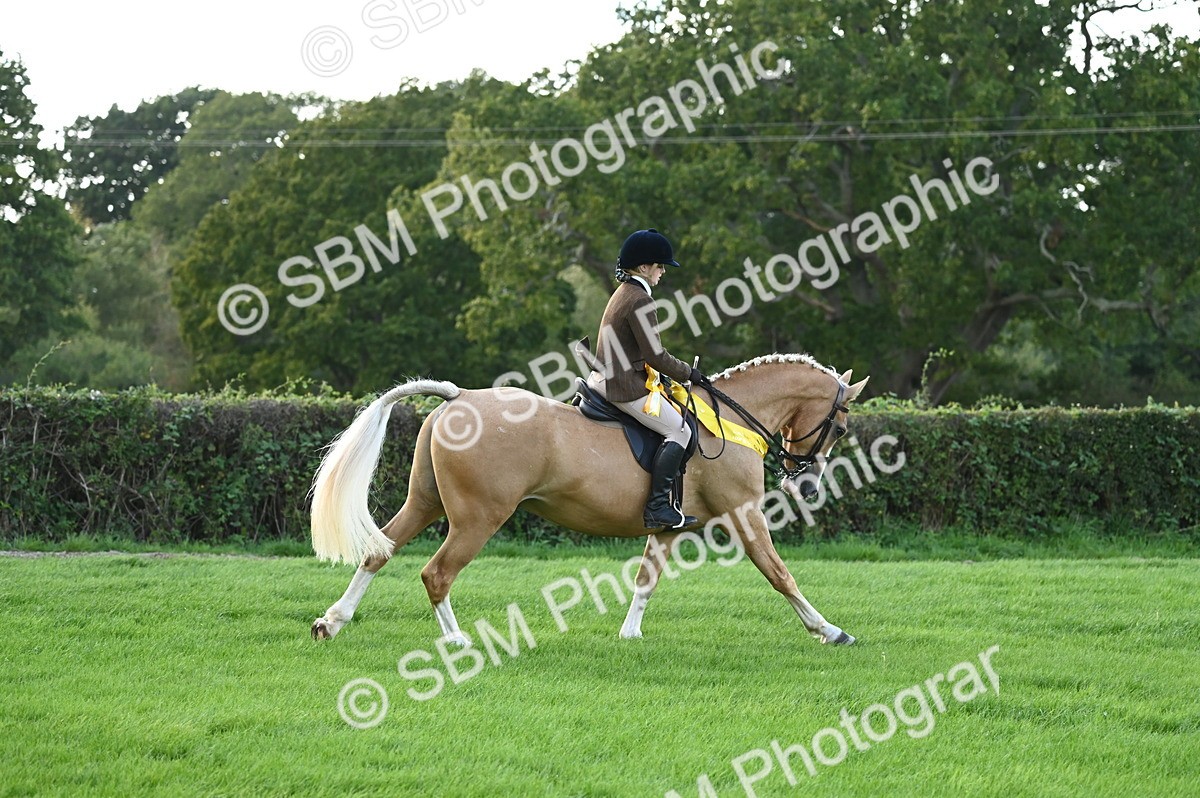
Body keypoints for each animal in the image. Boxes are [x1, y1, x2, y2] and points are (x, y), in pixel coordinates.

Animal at [309, 353, 869, 646]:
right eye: (840, 428)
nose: (807, 486)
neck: (729, 422)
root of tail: (459, 397)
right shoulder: (745, 516)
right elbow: (780, 574)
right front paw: (829, 630)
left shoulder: (670, 526)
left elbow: (646, 581)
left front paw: (629, 635)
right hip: (477, 518)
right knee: (437, 574)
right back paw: (458, 641)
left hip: (426, 504)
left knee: (379, 552)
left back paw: (331, 622)